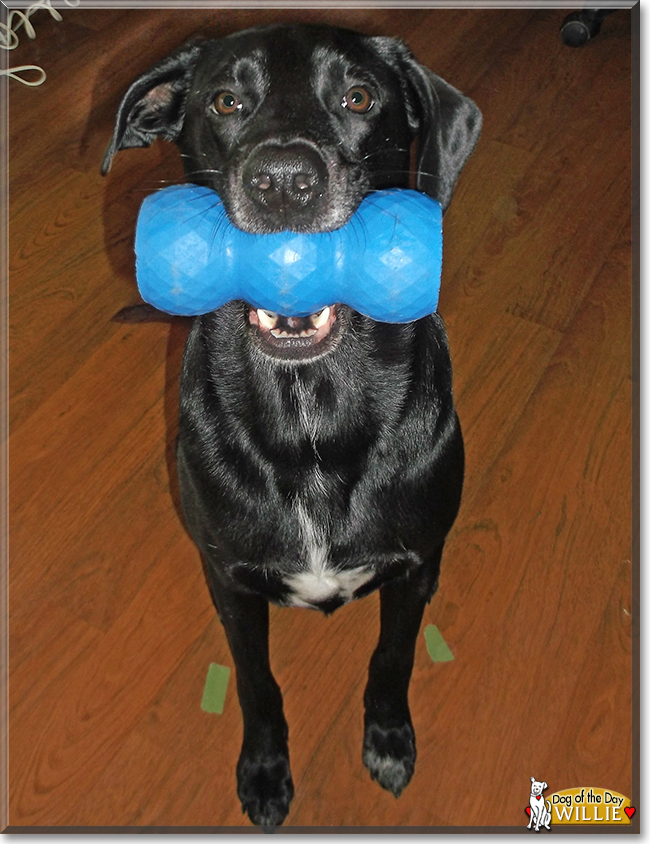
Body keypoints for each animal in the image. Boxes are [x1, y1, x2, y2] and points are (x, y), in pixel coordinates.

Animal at [102, 23, 480, 828]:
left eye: (358, 96)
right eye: (226, 100)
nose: (282, 181)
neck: (311, 407)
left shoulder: (415, 566)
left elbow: (392, 656)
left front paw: (388, 739)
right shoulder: (232, 584)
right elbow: (257, 684)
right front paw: (266, 771)